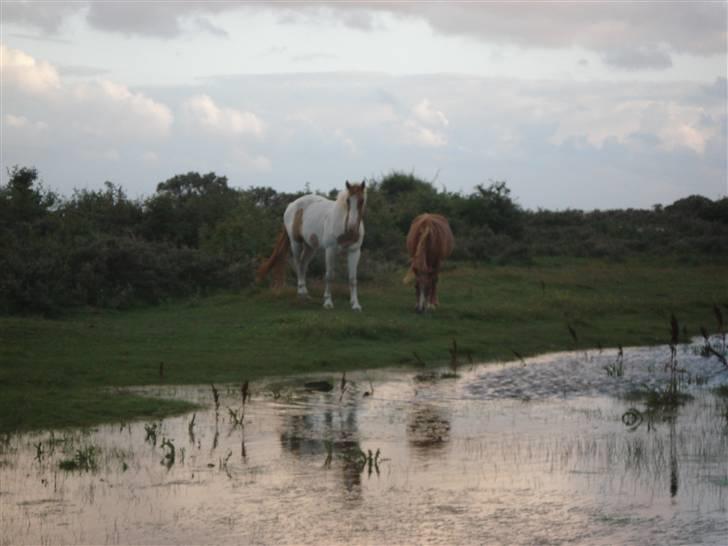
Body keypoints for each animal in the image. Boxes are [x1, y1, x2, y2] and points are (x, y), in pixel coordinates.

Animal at [258, 181, 370, 310]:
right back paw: (301, 293)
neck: (342, 223)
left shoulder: (354, 251)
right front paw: (328, 302)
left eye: (361, 200)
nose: (351, 227)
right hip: (296, 243)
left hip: (310, 247)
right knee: (298, 264)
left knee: (303, 265)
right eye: (347, 200)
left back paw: (305, 293)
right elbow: (329, 275)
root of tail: (291, 205)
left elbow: (352, 278)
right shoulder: (330, 250)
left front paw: (355, 304)